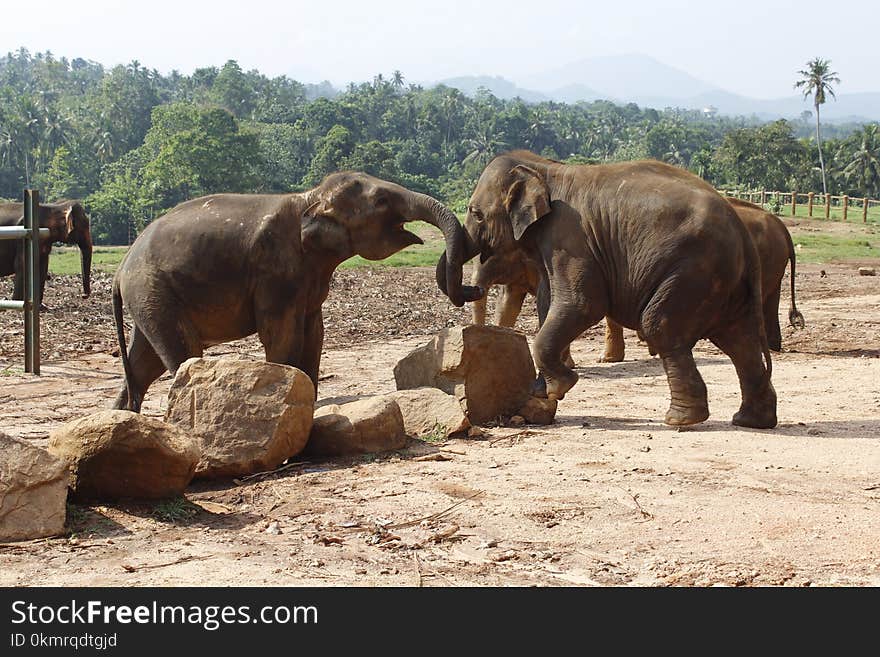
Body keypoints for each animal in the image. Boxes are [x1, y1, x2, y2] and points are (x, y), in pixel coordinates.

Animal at [111, 172, 482, 412]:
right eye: (381, 201)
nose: (473, 288)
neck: (310, 198)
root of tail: (120, 269)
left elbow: (314, 334)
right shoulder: (275, 271)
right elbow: (283, 335)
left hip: (150, 297)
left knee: (144, 364)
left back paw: (124, 417)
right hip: (153, 290)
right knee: (182, 353)